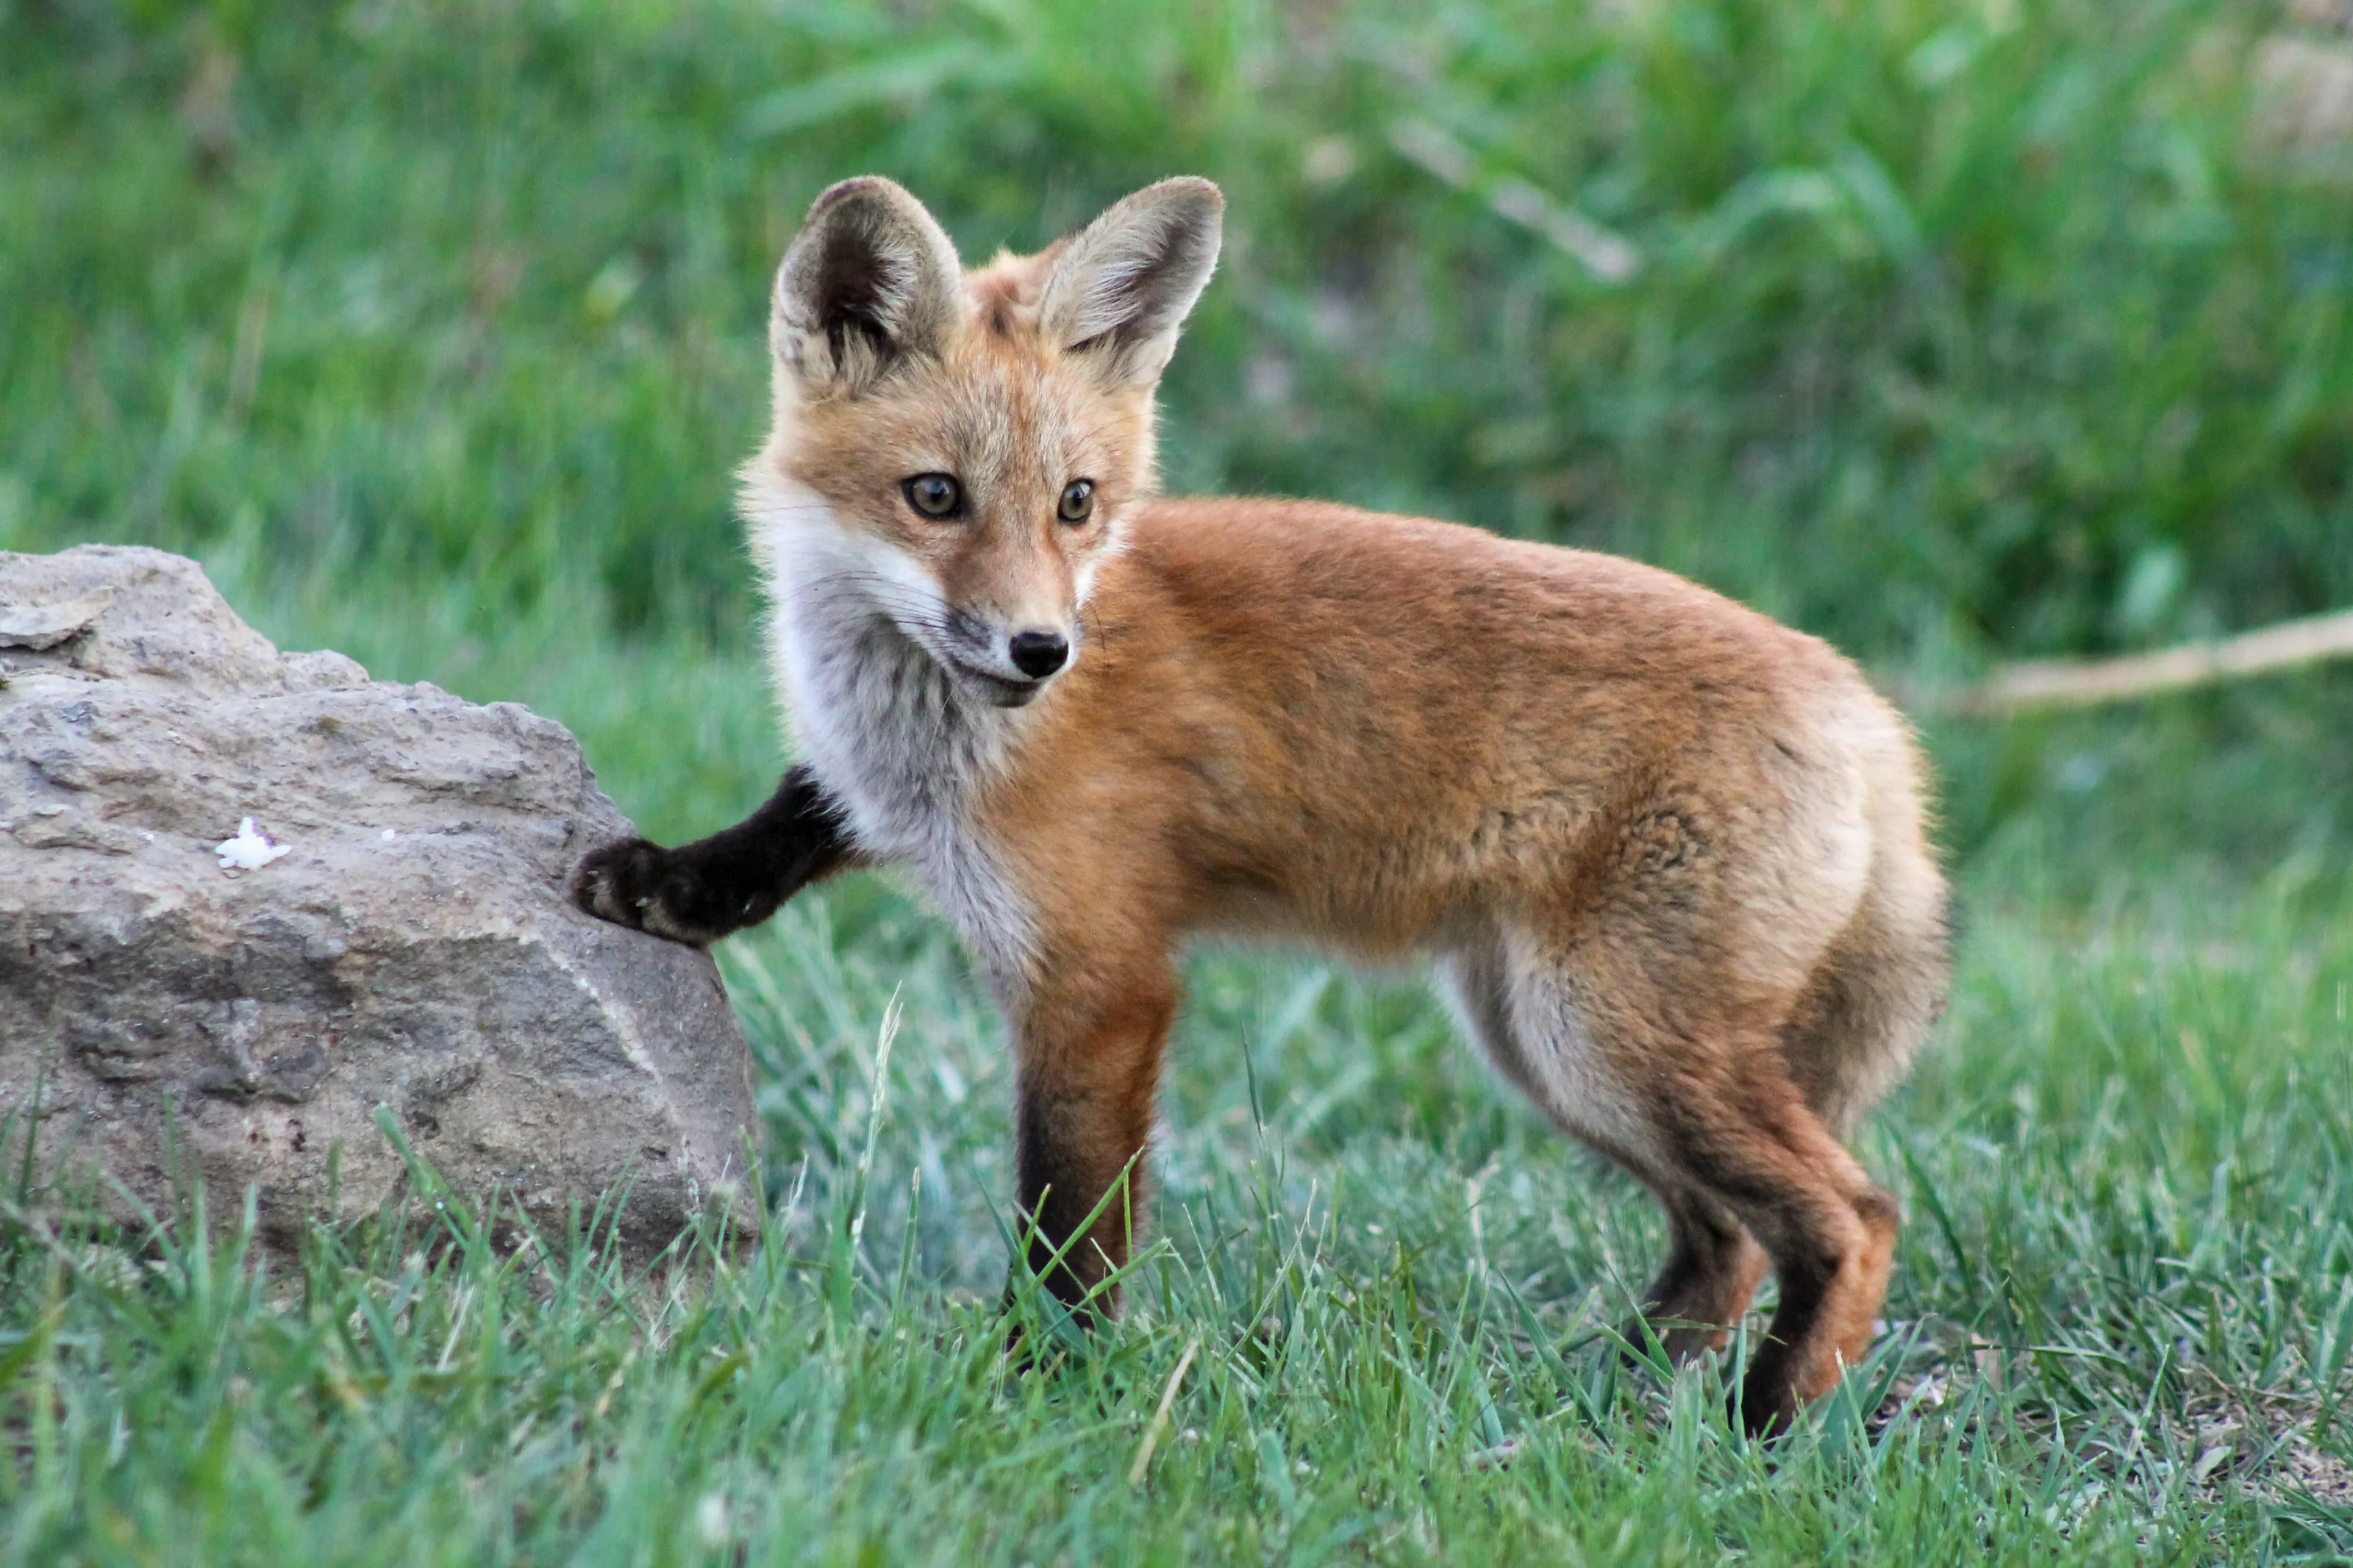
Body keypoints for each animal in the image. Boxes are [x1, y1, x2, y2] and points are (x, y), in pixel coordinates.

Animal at [571, 175, 1950, 1435]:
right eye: (935, 495)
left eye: (1076, 502)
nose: (1040, 651)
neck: (937, 743)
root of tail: (1868, 714)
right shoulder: (867, 791)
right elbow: (790, 821)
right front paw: (670, 881)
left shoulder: (1103, 981)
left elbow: (1069, 1232)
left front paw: (1041, 1395)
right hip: (1545, 1042)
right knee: (1726, 1239)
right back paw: (1605, 1402)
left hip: (1607, 1036)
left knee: (1849, 1215)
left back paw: (1760, 1431)